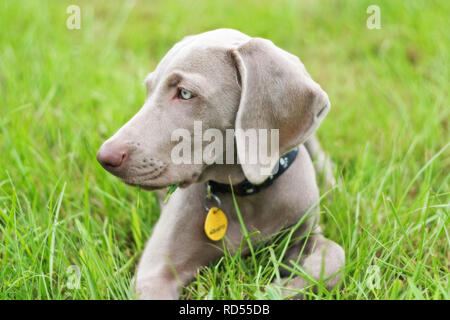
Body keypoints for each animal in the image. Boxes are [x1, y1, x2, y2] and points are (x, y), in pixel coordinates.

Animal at [96, 28, 344, 298]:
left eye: (185, 93)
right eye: (148, 90)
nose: (104, 157)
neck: (244, 193)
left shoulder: (303, 233)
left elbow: (336, 257)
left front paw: (279, 288)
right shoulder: (154, 274)